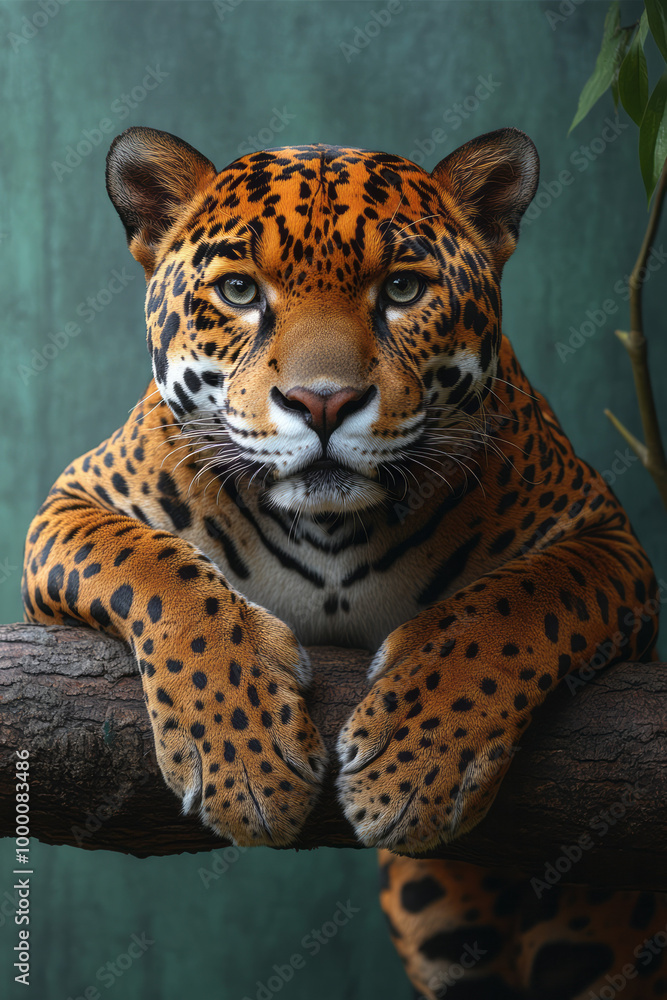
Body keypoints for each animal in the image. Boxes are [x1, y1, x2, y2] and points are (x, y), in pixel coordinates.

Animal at [22, 125, 665, 999]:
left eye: (401, 289)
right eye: (238, 291)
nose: (321, 402)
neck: (330, 535)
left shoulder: (608, 541)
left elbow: (517, 604)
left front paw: (417, 761)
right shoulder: (69, 504)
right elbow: (159, 576)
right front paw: (243, 761)